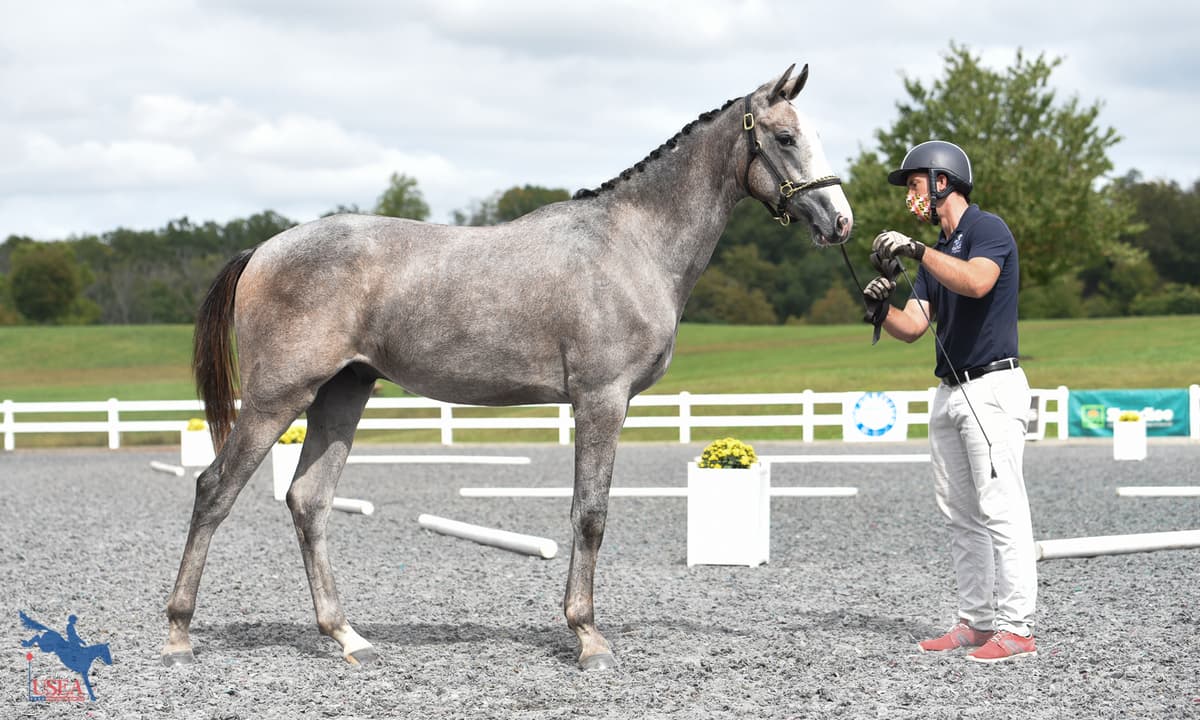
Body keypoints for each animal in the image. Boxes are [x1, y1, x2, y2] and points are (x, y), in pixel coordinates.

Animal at [162, 63, 853, 671]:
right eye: (785, 138)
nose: (840, 222)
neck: (633, 243)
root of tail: (263, 249)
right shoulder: (602, 399)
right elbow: (590, 514)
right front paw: (588, 637)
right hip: (277, 398)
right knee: (215, 490)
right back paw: (179, 634)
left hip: (342, 394)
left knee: (308, 502)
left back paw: (348, 637)